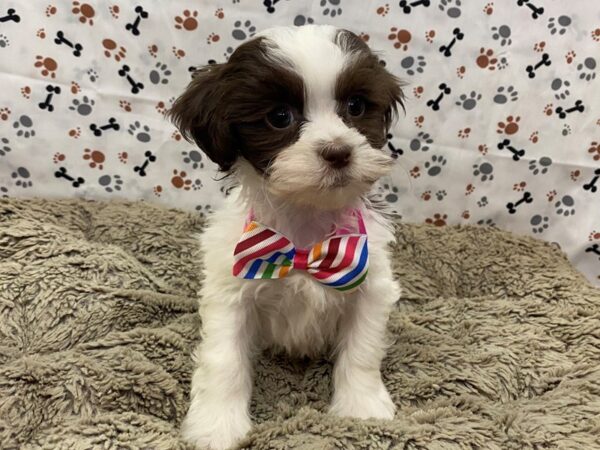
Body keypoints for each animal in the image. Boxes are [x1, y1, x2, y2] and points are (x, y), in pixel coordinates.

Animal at [169, 25, 404, 450]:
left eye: (356, 106)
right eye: (280, 117)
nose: (338, 151)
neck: (304, 230)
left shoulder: (371, 283)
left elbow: (362, 350)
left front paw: (361, 408)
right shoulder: (230, 291)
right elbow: (224, 359)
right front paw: (216, 426)